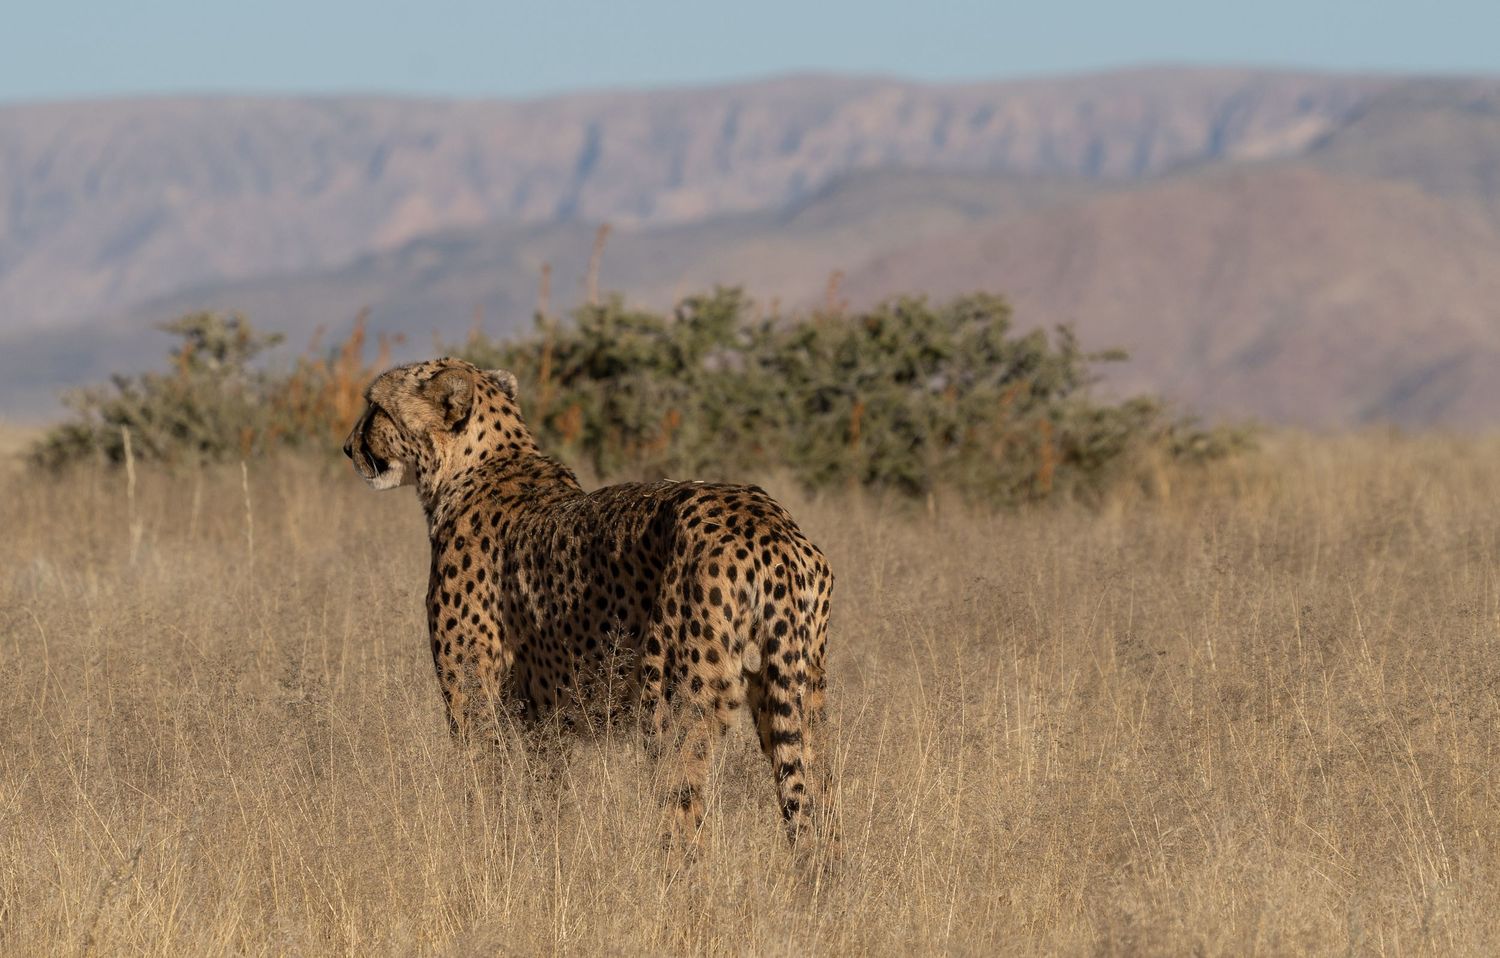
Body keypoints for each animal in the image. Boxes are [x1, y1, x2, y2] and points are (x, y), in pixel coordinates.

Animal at [343, 357, 833, 843]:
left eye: (376, 408)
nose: (348, 449)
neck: (477, 465)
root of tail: (767, 524)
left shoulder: (473, 696)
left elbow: (482, 784)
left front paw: (481, 843)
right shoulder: (546, 718)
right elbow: (545, 796)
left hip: (670, 697)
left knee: (684, 813)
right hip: (798, 689)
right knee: (817, 799)